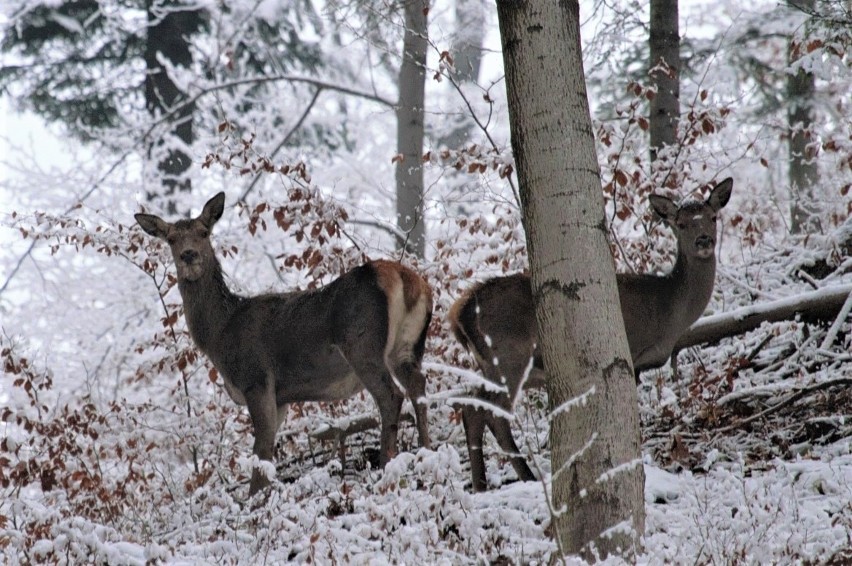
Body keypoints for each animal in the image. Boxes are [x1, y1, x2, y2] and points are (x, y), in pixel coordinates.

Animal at [137, 193, 436, 494]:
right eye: (171, 239)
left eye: (203, 232)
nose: (189, 255)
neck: (219, 335)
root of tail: (407, 279)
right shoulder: (281, 399)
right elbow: (268, 451)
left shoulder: (256, 379)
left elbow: (261, 452)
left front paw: (255, 497)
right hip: (407, 348)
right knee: (418, 387)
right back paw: (426, 452)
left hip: (362, 345)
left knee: (391, 395)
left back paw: (387, 466)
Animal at [450, 178, 736, 492]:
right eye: (681, 224)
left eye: (712, 217)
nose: (704, 241)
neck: (669, 310)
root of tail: (459, 315)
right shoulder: (631, 353)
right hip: (508, 358)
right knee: (491, 413)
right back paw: (524, 477)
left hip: (489, 364)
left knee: (470, 407)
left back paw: (481, 484)